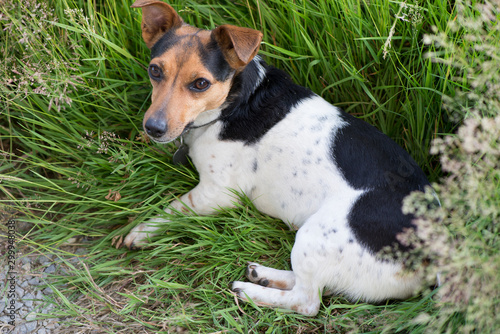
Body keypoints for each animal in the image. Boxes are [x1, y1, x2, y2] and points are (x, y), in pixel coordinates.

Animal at [124, 0, 430, 316]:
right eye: (154, 70)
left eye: (200, 84)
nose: (153, 128)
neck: (236, 102)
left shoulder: (217, 194)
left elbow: (174, 207)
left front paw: (142, 231)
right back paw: (264, 275)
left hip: (313, 236)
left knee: (307, 301)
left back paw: (250, 291)